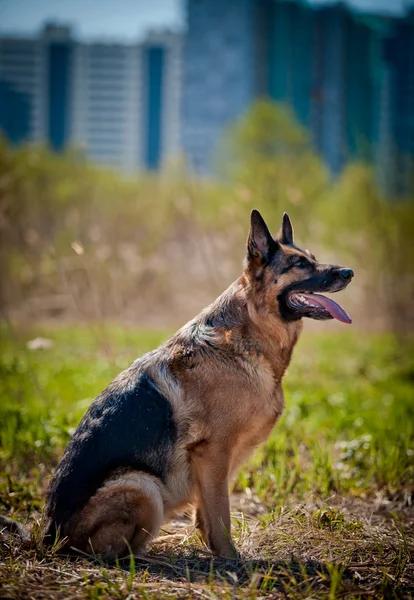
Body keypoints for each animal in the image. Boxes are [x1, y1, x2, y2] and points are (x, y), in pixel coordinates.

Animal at [1, 211, 354, 556]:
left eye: (313, 258)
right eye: (299, 264)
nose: (349, 272)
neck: (248, 334)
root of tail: (47, 537)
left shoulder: (217, 462)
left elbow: (207, 515)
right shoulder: (213, 453)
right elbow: (221, 515)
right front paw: (231, 560)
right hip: (142, 485)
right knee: (109, 551)